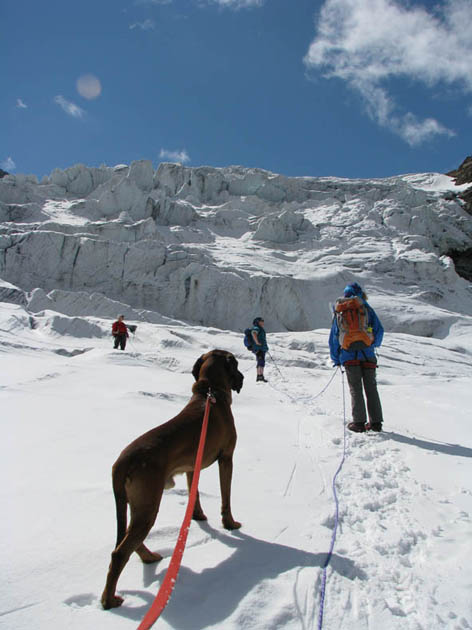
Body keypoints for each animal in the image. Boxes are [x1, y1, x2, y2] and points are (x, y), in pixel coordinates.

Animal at [102, 348, 245, 608]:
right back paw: (109, 599)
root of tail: (122, 461)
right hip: (148, 504)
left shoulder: (191, 466)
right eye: (236, 366)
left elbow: (194, 493)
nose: (243, 378)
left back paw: (149, 557)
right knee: (119, 553)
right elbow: (226, 496)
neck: (210, 392)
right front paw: (230, 523)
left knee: (127, 538)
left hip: (135, 503)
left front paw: (198, 516)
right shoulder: (227, 458)